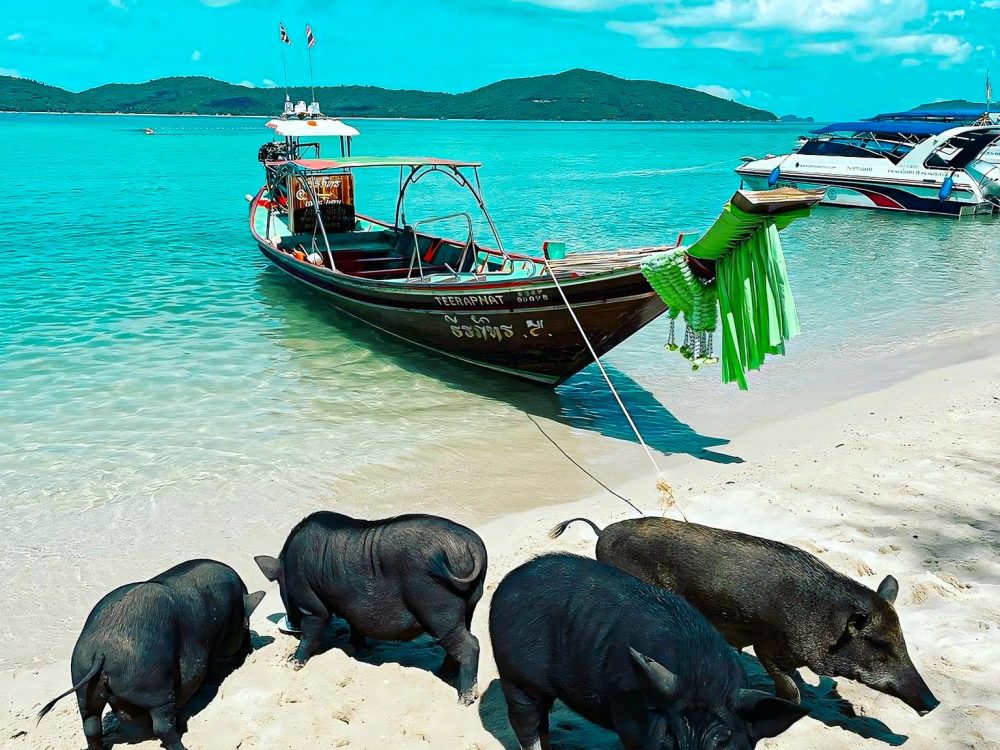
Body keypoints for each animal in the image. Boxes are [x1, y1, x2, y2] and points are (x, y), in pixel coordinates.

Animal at [37, 559, 265, 750]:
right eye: (246, 624)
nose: (250, 649)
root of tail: (102, 651)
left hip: (84, 686)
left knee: (91, 726)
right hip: (156, 687)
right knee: (162, 727)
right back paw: (182, 747)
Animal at [254, 510, 487, 704]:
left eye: (281, 588)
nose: (291, 624)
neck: (286, 565)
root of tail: (472, 545)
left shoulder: (311, 606)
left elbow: (312, 631)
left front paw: (291, 662)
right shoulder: (351, 608)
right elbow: (354, 627)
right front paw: (359, 649)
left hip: (436, 607)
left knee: (470, 644)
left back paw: (464, 700)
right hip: (469, 606)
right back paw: (442, 674)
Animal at [490, 553, 807, 750]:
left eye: (724, 742)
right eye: (671, 736)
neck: (702, 676)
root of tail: (506, 584)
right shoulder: (628, 721)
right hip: (515, 676)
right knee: (525, 724)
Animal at [550, 517, 939, 715]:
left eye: (903, 640)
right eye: (880, 644)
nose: (934, 703)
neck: (825, 624)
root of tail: (602, 532)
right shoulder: (767, 645)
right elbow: (789, 688)